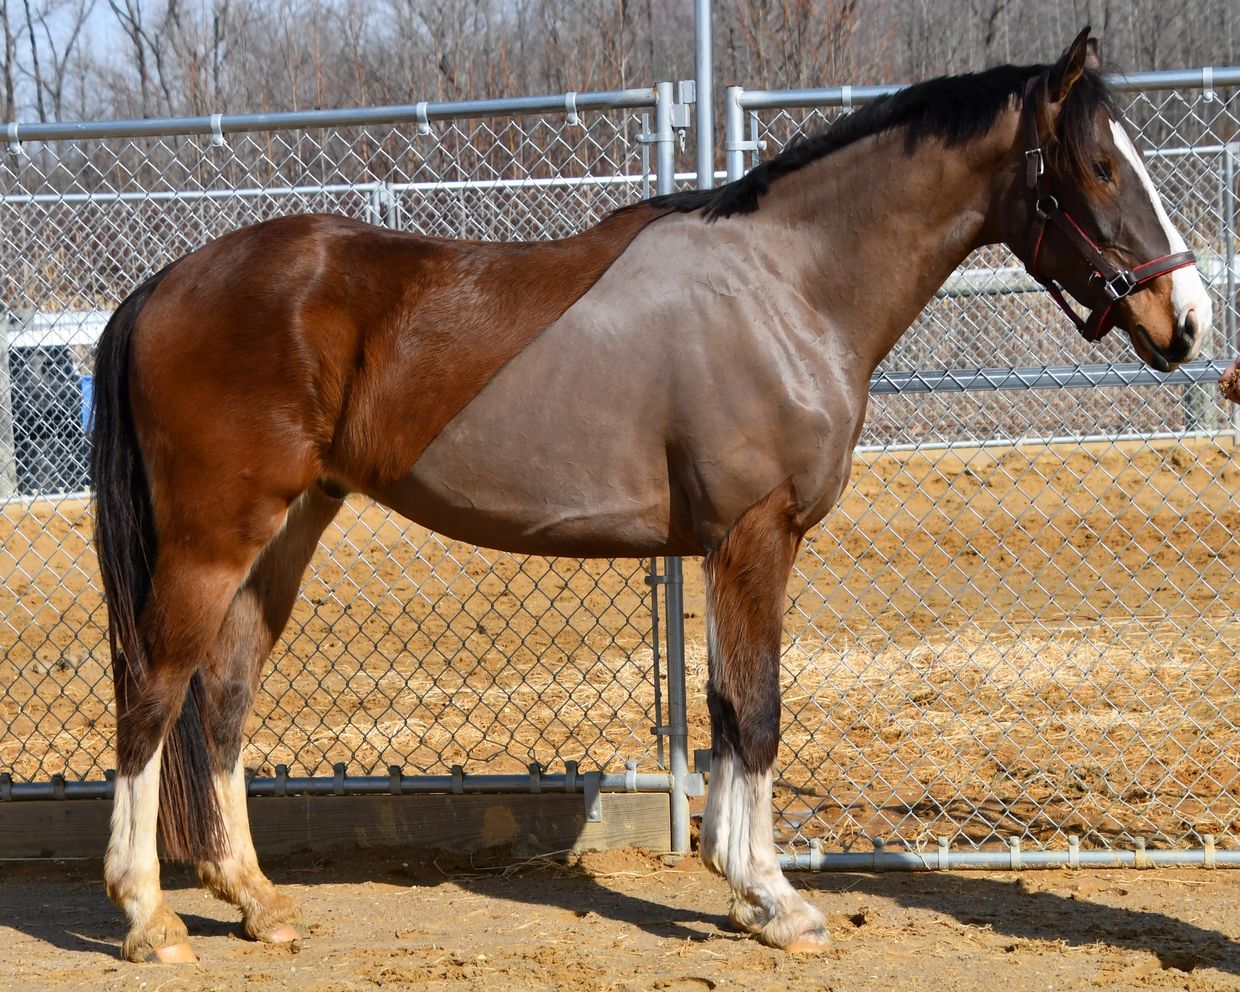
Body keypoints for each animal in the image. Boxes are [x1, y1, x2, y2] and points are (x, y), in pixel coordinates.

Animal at [92, 28, 1211, 963]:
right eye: (1100, 166)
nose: (1190, 318)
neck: (787, 287)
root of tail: (166, 282)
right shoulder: (754, 536)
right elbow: (756, 714)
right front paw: (778, 901)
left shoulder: (734, 546)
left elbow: (725, 708)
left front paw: (743, 886)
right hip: (213, 539)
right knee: (153, 692)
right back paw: (149, 917)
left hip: (285, 532)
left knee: (224, 699)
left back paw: (255, 900)